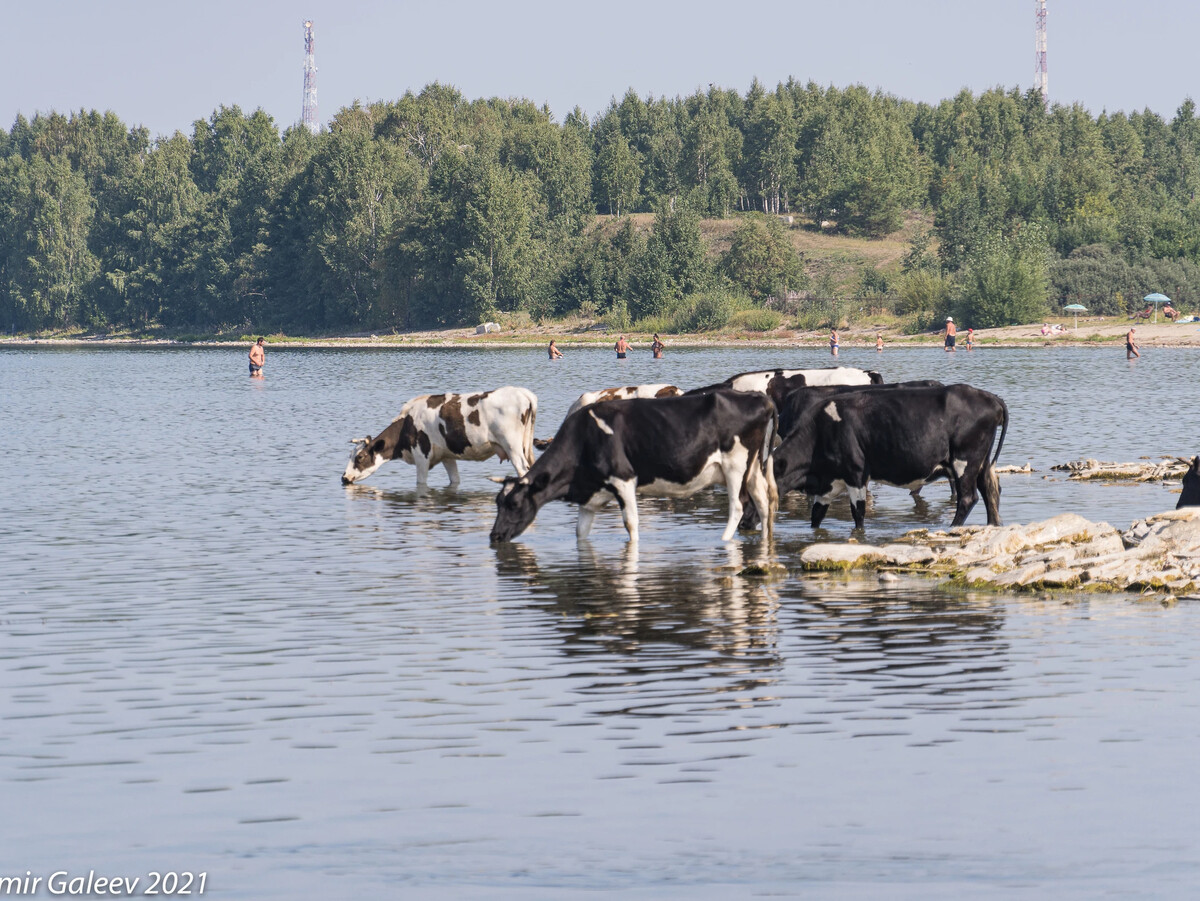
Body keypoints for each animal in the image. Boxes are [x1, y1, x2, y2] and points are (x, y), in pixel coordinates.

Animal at [343, 386, 540, 487]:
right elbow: (455, 480)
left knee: (523, 469)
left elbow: (421, 483)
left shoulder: (421, 456)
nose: (344, 478)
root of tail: (522, 392)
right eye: (350, 455)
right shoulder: (447, 456)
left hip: (512, 447)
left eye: (360, 457)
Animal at [487, 388, 777, 542]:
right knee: (764, 503)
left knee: (738, 506)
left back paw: (723, 540)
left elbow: (631, 524)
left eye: (514, 504)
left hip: (735, 467)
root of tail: (758, 397)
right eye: (497, 503)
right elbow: (580, 532)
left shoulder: (623, 479)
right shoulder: (590, 496)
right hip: (754, 468)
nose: (495, 536)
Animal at [768, 381, 1003, 535]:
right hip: (981, 462)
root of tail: (991, 398)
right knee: (990, 490)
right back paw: (992, 525)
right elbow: (816, 516)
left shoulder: (856, 474)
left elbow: (858, 514)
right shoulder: (829, 484)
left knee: (968, 497)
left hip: (964, 461)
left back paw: (953, 527)